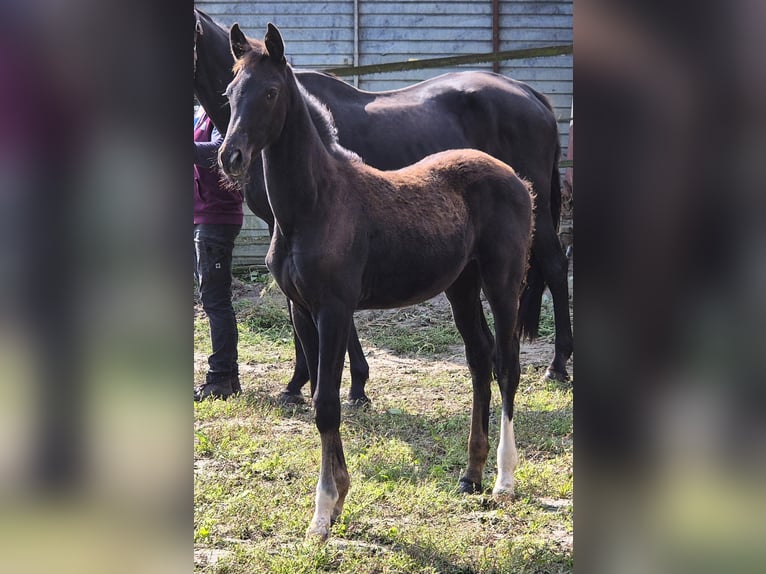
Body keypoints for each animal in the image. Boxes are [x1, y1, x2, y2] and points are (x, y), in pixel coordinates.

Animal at [219, 23, 536, 544]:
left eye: (270, 92)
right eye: (229, 93)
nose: (230, 156)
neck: (315, 204)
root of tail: (514, 178)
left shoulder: (333, 310)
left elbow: (327, 403)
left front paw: (323, 513)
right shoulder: (302, 309)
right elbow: (317, 397)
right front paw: (335, 504)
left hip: (503, 281)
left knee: (507, 364)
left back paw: (503, 480)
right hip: (461, 286)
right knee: (479, 358)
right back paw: (470, 474)